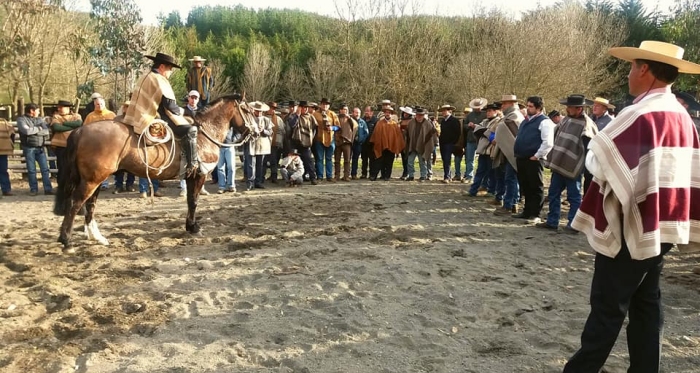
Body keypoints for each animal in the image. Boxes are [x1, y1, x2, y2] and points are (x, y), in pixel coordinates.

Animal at [52, 95, 254, 253]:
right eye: (247, 110)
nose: (255, 131)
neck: (204, 132)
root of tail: (80, 130)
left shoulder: (190, 176)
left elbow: (190, 201)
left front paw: (189, 226)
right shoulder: (199, 175)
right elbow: (194, 201)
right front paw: (194, 227)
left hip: (95, 180)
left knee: (90, 205)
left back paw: (96, 237)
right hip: (91, 181)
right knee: (75, 204)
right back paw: (67, 241)